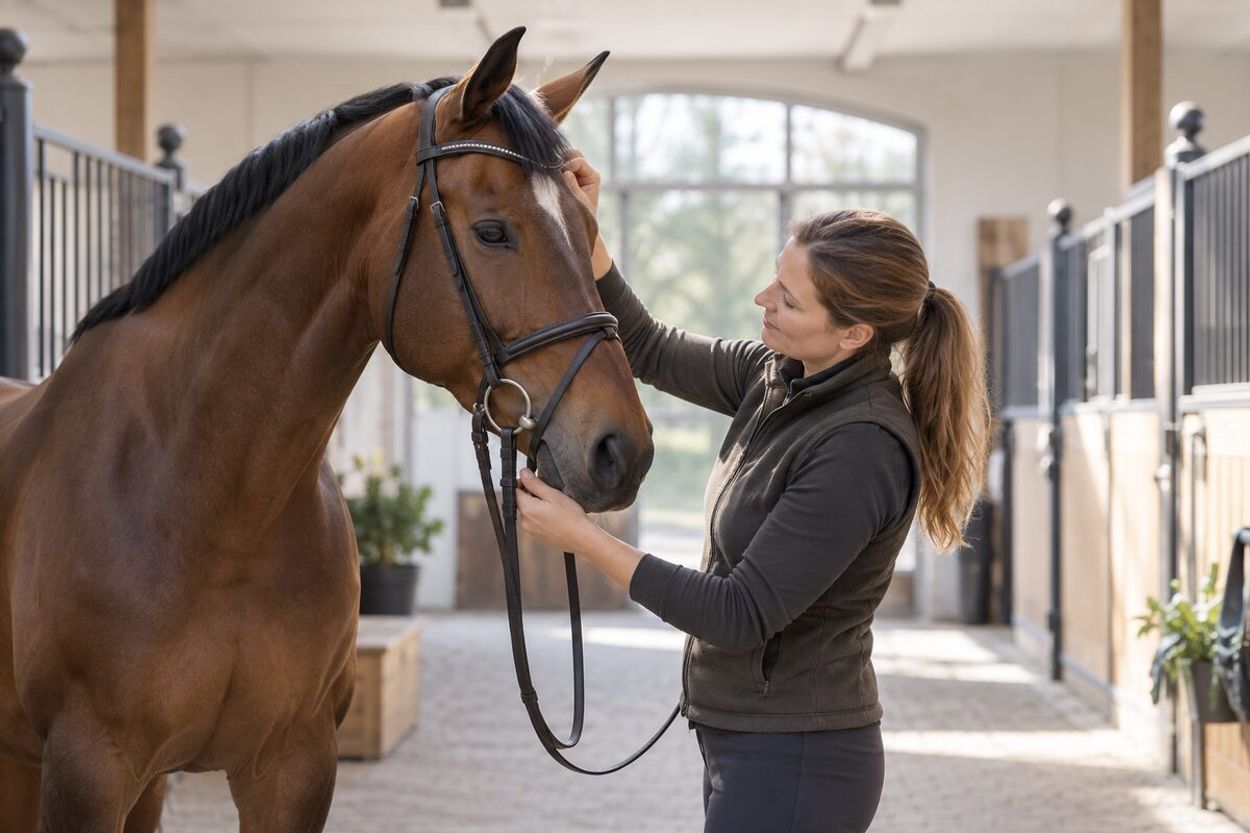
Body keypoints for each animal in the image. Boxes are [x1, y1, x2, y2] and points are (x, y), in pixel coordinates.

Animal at [0, 27, 653, 831]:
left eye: (588, 229)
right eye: (494, 231)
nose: (622, 450)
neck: (204, 498)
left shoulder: (293, 767)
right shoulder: (87, 770)